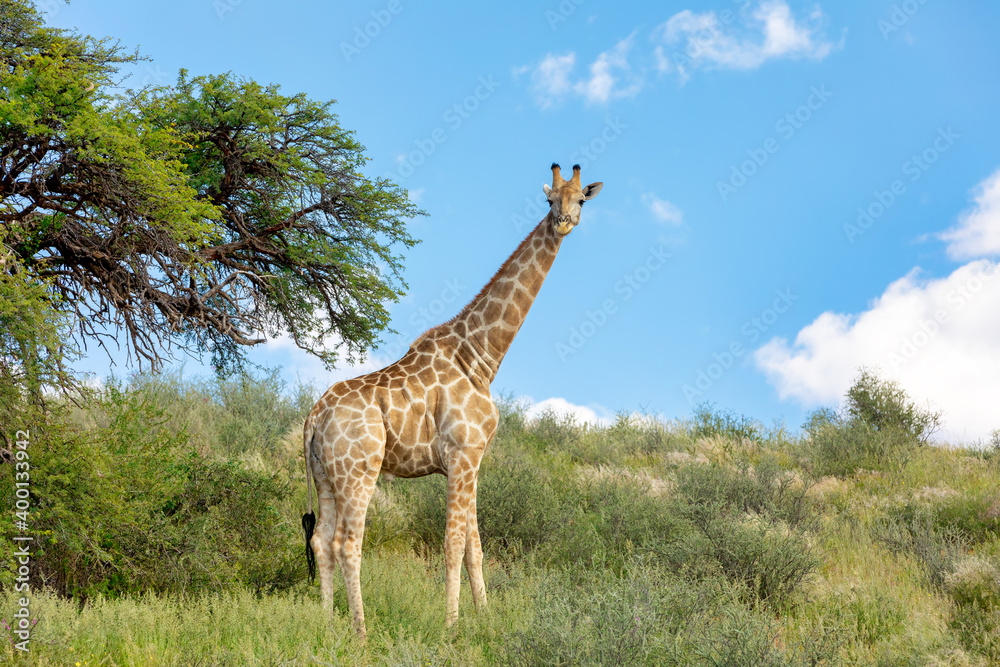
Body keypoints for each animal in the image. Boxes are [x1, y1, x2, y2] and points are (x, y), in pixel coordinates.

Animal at [301, 163, 603, 638]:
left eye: (581, 199)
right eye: (549, 199)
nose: (564, 222)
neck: (480, 356)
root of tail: (313, 417)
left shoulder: (473, 460)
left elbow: (475, 547)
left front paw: (486, 619)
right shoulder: (461, 455)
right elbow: (453, 543)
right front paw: (451, 625)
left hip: (325, 473)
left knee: (319, 541)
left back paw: (329, 624)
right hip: (359, 469)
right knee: (347, 542)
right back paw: (362, 633)